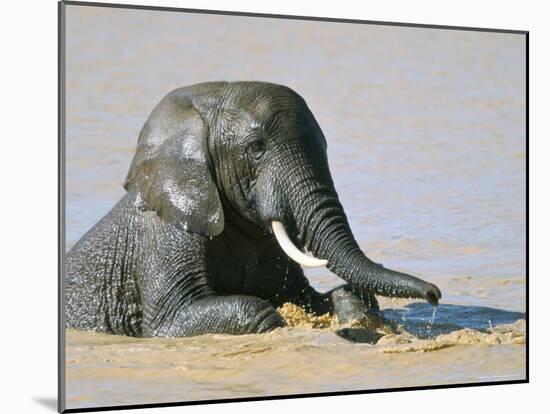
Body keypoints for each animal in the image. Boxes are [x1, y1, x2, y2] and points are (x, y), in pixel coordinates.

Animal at [66, 81, 444, 340]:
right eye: (256, 148)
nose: (434, 294)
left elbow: (308, 296)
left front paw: (352, 306)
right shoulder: (164, 234)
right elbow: (170, 321)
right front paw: (277, 321)